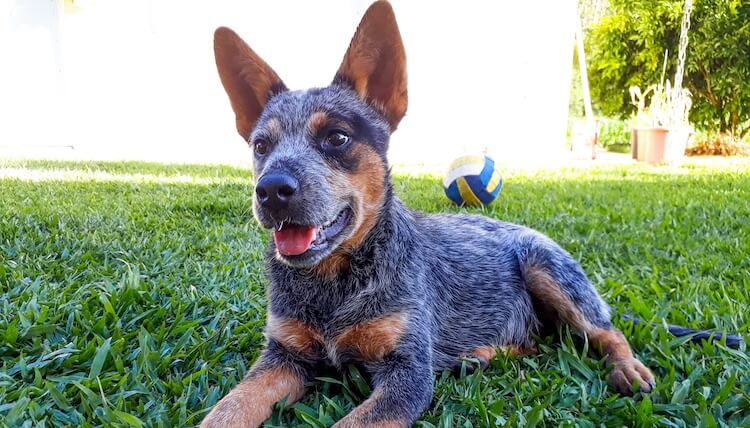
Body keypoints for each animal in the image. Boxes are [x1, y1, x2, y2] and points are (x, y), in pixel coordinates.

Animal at [203, 2, 656, 424]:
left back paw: (628, 368)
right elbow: (228, 408)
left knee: (606, 331)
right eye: (261, 146)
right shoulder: (284, 355)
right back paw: (484, 354)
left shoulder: (407, 371)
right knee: (538, 341)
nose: (271, 190)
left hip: (548, 271)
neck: (333, 284)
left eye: (337, 137)